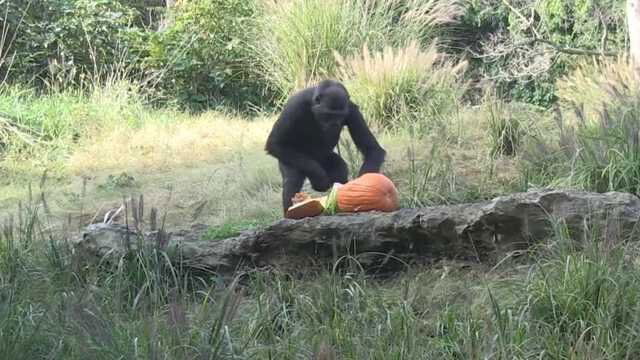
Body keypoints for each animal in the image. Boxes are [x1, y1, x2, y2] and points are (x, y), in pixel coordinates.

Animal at [264, 79, 384, 214]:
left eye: (339, 116)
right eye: (328, 115)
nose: (334, 124)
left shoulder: (352, 110)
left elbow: (371, 148)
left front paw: (363, 181)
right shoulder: (294, 107)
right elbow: (275, 143)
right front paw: (318, 176)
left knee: (339, 169)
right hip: (289, 158)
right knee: (292, 179)